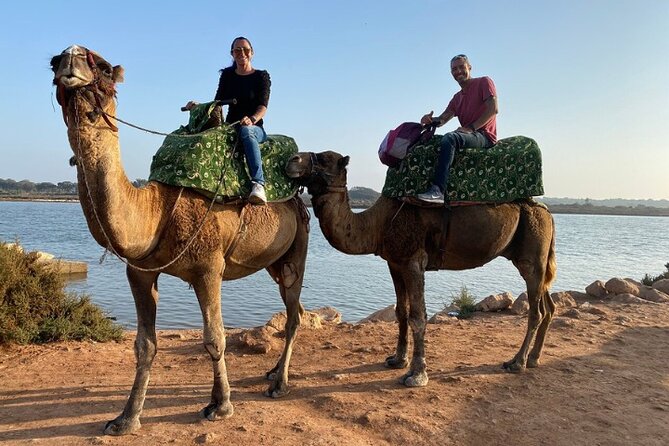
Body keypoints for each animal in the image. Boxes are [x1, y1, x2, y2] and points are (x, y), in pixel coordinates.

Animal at [51, 45, 309, 435]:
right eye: (53, 63)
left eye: (104, 67)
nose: (70, 55)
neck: (156, 210)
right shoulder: (139, 271)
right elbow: (144, 345)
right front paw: (126, 418)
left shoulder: (208, 268)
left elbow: (214, 338)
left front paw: (221, 405)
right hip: (275, 262)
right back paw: (273, 374)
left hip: (298, 248)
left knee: (294, 315)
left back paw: (279, 384)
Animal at [286, 151, 556, 386]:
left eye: (324, 158)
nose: (292, 159)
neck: (377, 224)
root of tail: (548, 214)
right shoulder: (395, 262)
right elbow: (401, 312)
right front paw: (397, 360)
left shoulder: (414, 262)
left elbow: (418, 316)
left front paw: (416, 375)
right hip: (534, 257)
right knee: (548, 306)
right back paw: (534, 358)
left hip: (532, 252)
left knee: (536, 310)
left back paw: (517, 362)